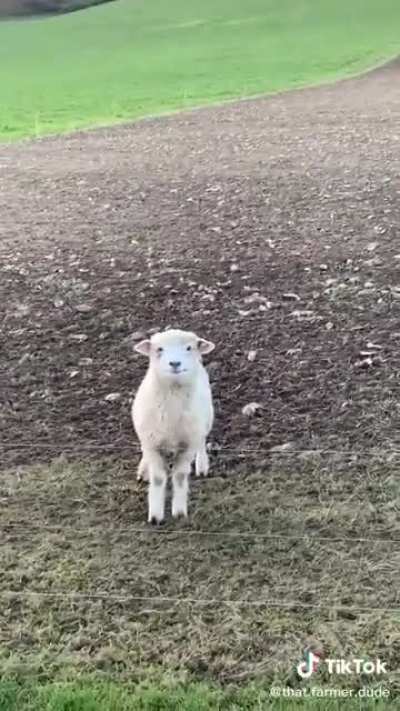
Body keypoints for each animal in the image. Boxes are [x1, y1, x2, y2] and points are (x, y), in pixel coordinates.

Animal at [131, 328, 215, 524]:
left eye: (189, 348)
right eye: (159, 349)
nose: (175, 363)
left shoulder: (188, 445)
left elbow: (179, 476)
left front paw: (179, 512)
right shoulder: (152, 443)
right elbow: (158, 478)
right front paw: (155, 516)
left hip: (205, 420)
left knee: (202, 442)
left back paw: (202, 466)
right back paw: (143, 469)